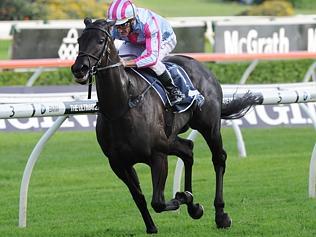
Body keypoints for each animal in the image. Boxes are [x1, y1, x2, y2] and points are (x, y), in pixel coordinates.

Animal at [71, 18, 260, 233]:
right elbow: (139, 197)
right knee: (188, 149)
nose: (79, 68)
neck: (121, 106)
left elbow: (158, 202)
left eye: (101, 40)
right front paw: (153, 225)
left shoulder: (158, 155)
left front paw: (184, 196)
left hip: (209, 125)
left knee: (218, 158)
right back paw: (194, 207)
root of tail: (200, 66)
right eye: (79, 40)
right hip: (170, 137)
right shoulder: (119, 163)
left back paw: (220, 215)